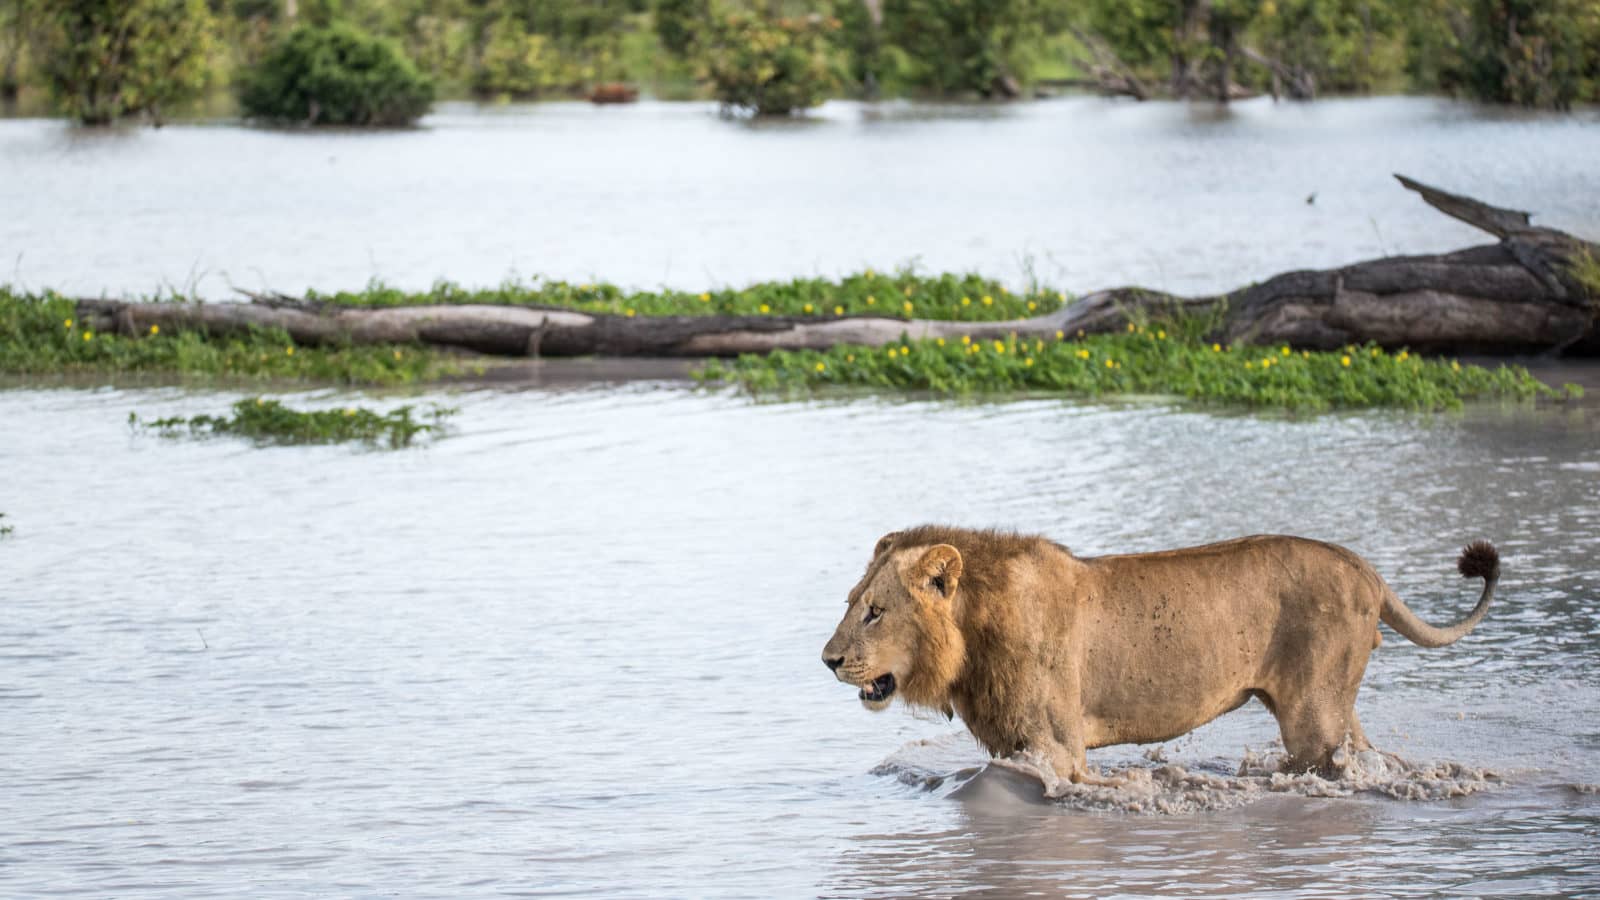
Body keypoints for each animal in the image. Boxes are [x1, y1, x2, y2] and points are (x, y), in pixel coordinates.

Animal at [821, 526, 1499, 782]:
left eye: (875, 611)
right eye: (852, 601)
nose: (827, 660)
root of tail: (1366, 569)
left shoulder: (1055, 748)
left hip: (1313, 713)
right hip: (1335, 705)